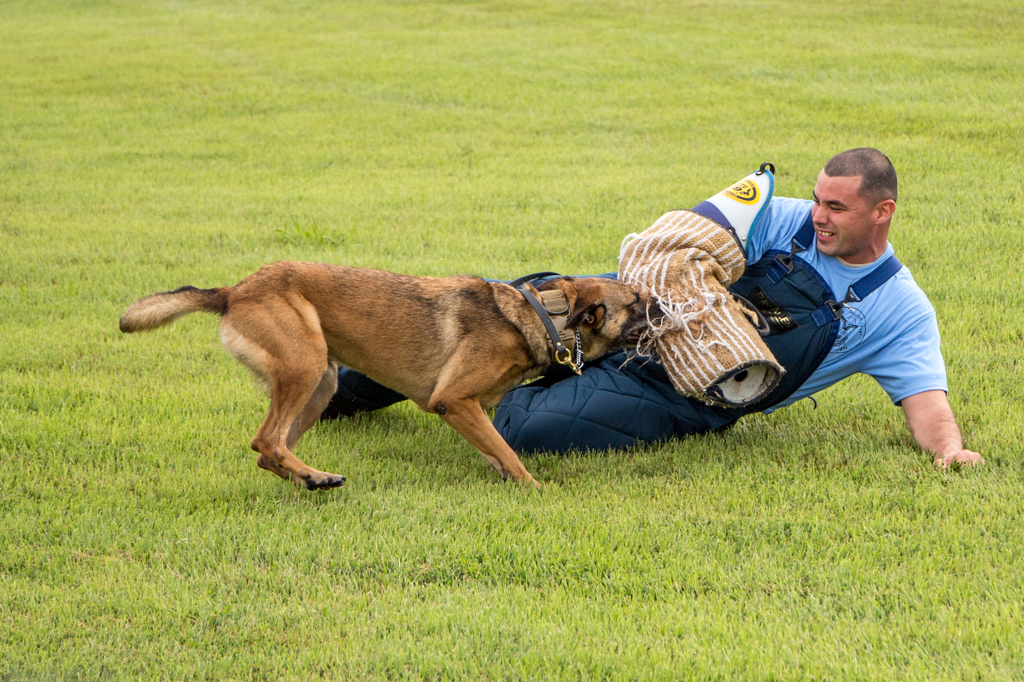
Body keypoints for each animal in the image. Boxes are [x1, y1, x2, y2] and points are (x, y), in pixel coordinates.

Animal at [119, 261, 647, 489]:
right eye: (639, 302)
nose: (663, 306)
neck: (542, 315)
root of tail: (234, 291)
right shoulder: (453, 401)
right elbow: (509, 452)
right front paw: (533, 489)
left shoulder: (476, 409)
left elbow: (495, 448)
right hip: (305, 366)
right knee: (266, 440)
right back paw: (314, 476)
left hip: (321, 383)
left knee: (269, 451)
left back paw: (310, 478)